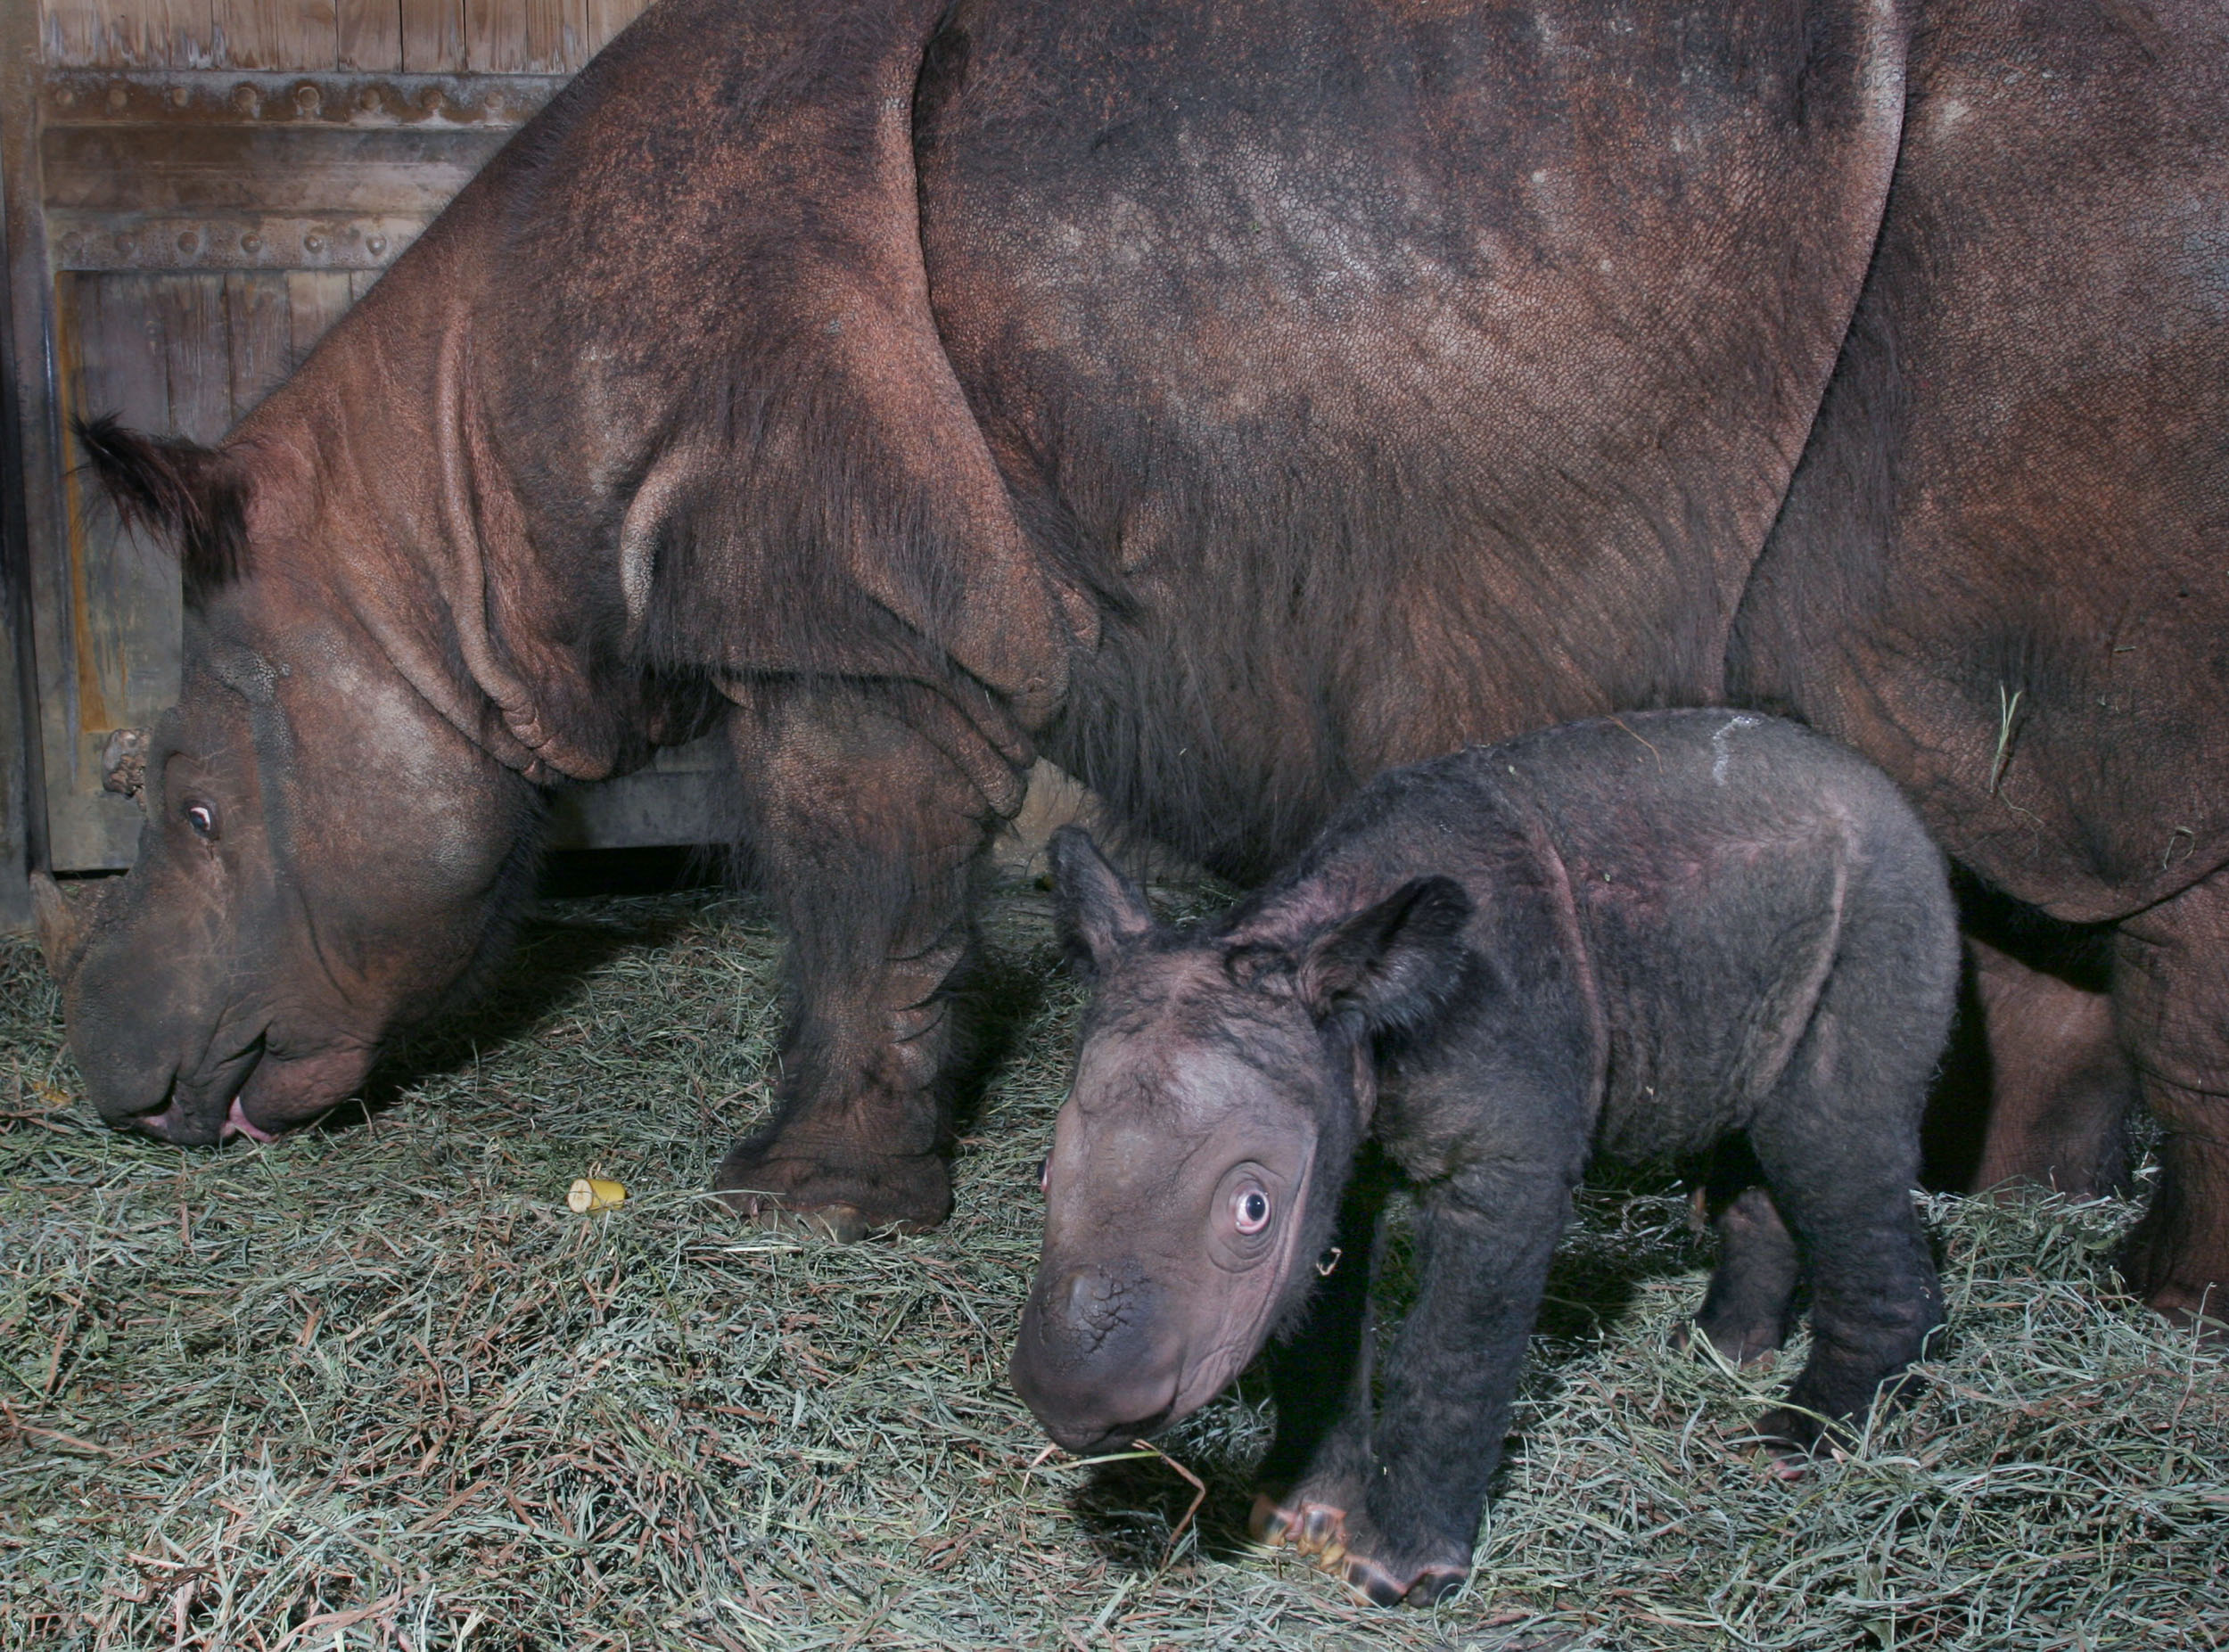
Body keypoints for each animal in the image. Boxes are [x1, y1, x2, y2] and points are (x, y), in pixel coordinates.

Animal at [35, 0, 2229, 1319]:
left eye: (198, 808)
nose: (103, 1072)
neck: (451, 519)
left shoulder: (857, 627)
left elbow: (855, 899)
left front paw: (790, 1206)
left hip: (2066, 245)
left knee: (2103, 805)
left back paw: (2155, 1293)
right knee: (1987, 794)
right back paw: (2017, 1213)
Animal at [1012, 709, 1953, 1596]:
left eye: (1252, 1208)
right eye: (1046, 1173)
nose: (1073, 1402)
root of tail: (1889, 796)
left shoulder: (1506, 1167)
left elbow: (1454, 1349)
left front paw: (1397, 1569)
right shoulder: (1332, 1137)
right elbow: (1319, 1324)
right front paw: (1298, 1516)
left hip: (1888, 898)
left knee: (1828, 1142)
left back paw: (1802, 1438)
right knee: (1766, 1138)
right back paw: (1723, 1349)